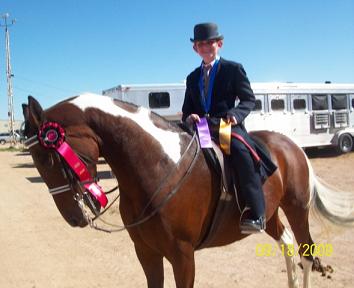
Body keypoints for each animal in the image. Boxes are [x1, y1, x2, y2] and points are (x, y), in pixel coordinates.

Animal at [22, 93, 354, 286]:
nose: (74, 218)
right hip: (269, 214)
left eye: (48, 157)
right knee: (285, 244)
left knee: (306, 254)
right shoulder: (146, 252)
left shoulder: (182, 256)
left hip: (296, 208)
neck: (159, 164)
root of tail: (290, 145)